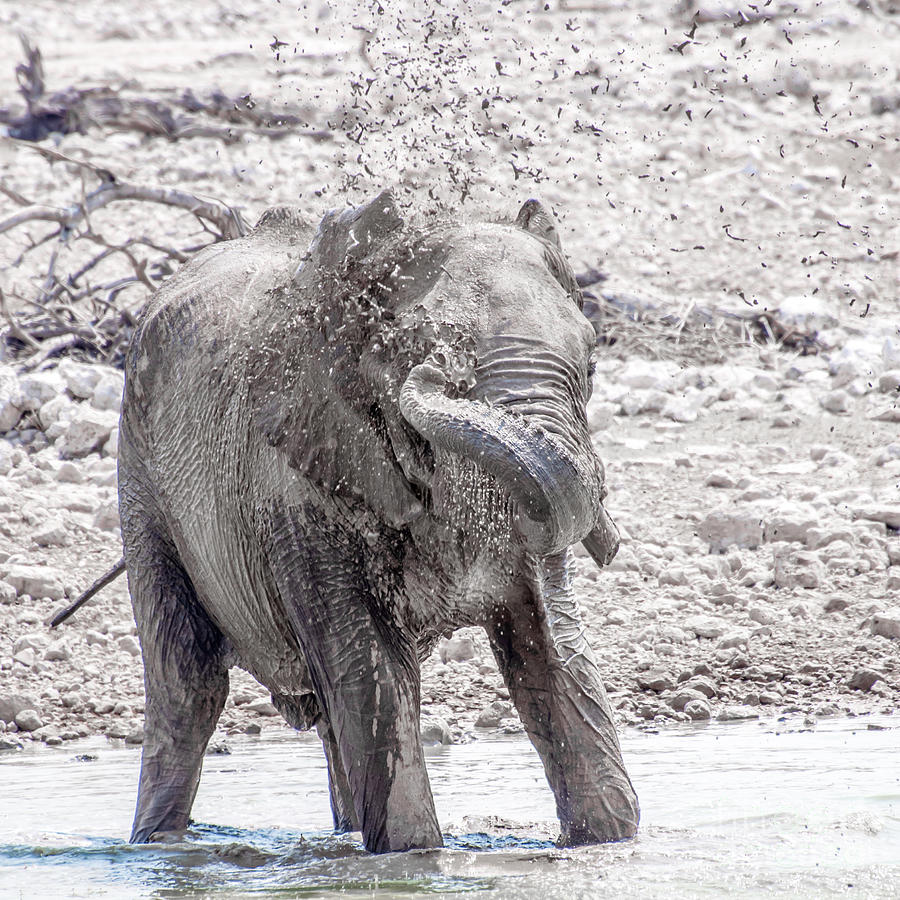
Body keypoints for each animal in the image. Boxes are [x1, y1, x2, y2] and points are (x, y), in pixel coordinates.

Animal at [119, 188, 640, 852]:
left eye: (593, 363)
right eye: (409, 350)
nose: (435, 371)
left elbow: (553, 655)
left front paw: (611, 841)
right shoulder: (294, 493)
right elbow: (372, 680)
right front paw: (413, 857)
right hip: (142, 484)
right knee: (188, 686)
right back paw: (158, 846)